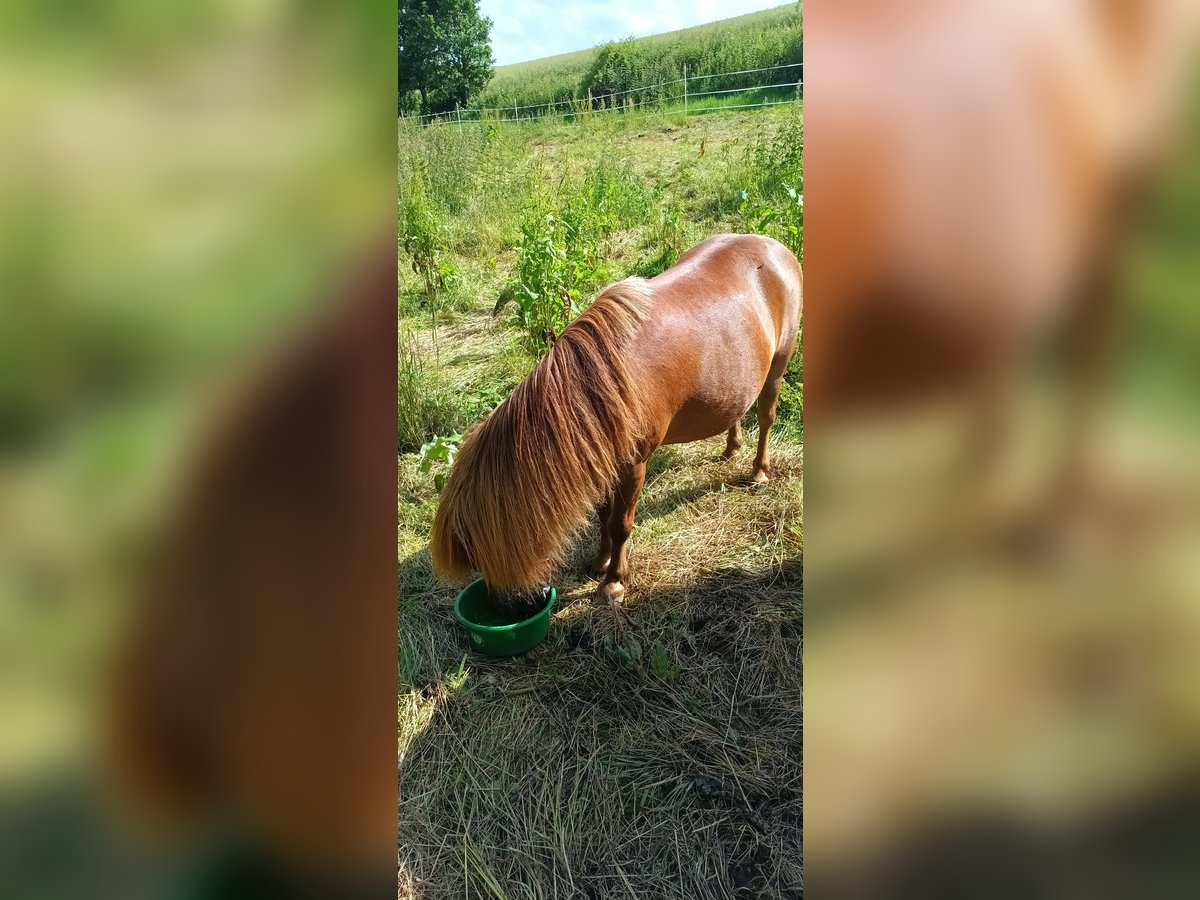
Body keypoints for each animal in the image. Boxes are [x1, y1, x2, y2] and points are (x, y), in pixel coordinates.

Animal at [434, 234, 806, 607]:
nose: (506, 605)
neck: (601, 384)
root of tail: (773, 246)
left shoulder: (633, 466)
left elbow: (620, 524)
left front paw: (613, 582)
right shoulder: (602, 461)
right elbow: (604, 515)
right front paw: (602, 562)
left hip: (778, 365)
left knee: (766, 415)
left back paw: (759, 472)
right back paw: (731, 448)